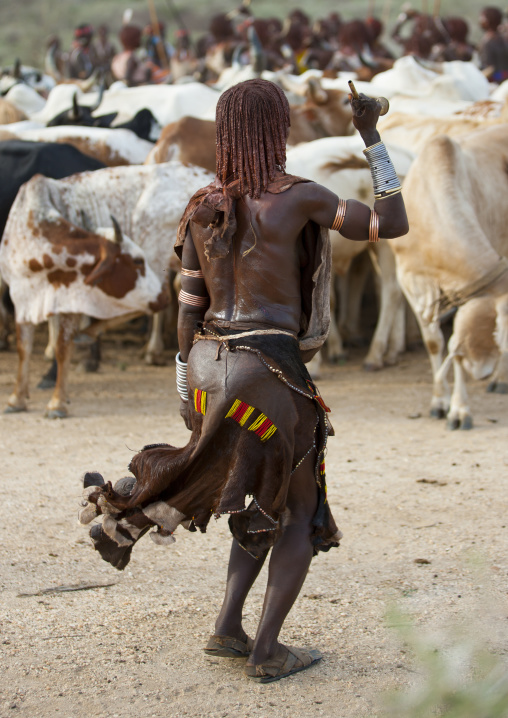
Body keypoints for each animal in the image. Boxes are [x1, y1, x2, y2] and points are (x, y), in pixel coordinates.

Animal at [0, 161, 213, 417]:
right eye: (136, 261)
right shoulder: (22, 299)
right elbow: (24, 348)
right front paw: (16, 398)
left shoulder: (71, 300)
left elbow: (62, 346)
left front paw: (57, 402)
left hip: (157, 252)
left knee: (159, 302)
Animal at [389, 124, 508, 429]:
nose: (483, 371)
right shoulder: (410, 279)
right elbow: (436, 343)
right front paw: (439, 402)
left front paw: (460, 409)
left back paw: (501, 379)